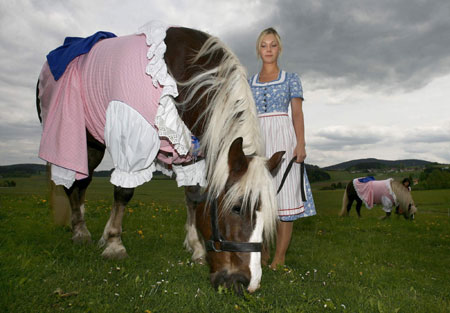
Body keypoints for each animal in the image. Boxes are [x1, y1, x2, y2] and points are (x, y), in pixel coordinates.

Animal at [37, 21, 284, 292]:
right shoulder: (132, 136)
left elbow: (193, 198)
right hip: (77, 140)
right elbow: (124, 191)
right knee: (76, 182)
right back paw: (80, 231)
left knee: (81, 184)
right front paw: (114, 243)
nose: (247, 283)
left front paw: (196, 247)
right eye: (237, 208)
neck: (183, 76)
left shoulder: (191, 155)